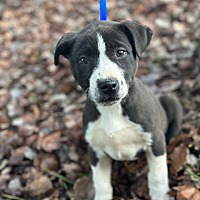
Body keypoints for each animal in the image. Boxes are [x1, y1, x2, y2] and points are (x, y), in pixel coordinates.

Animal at [54, 20, 182, 200]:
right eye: (83, 59)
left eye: (120, 52)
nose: (108, 85)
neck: (113, 110)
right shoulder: (95, 152)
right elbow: (101, 183)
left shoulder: (155, 140)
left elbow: (157, 176)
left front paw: (161, 195)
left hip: (171, 102)